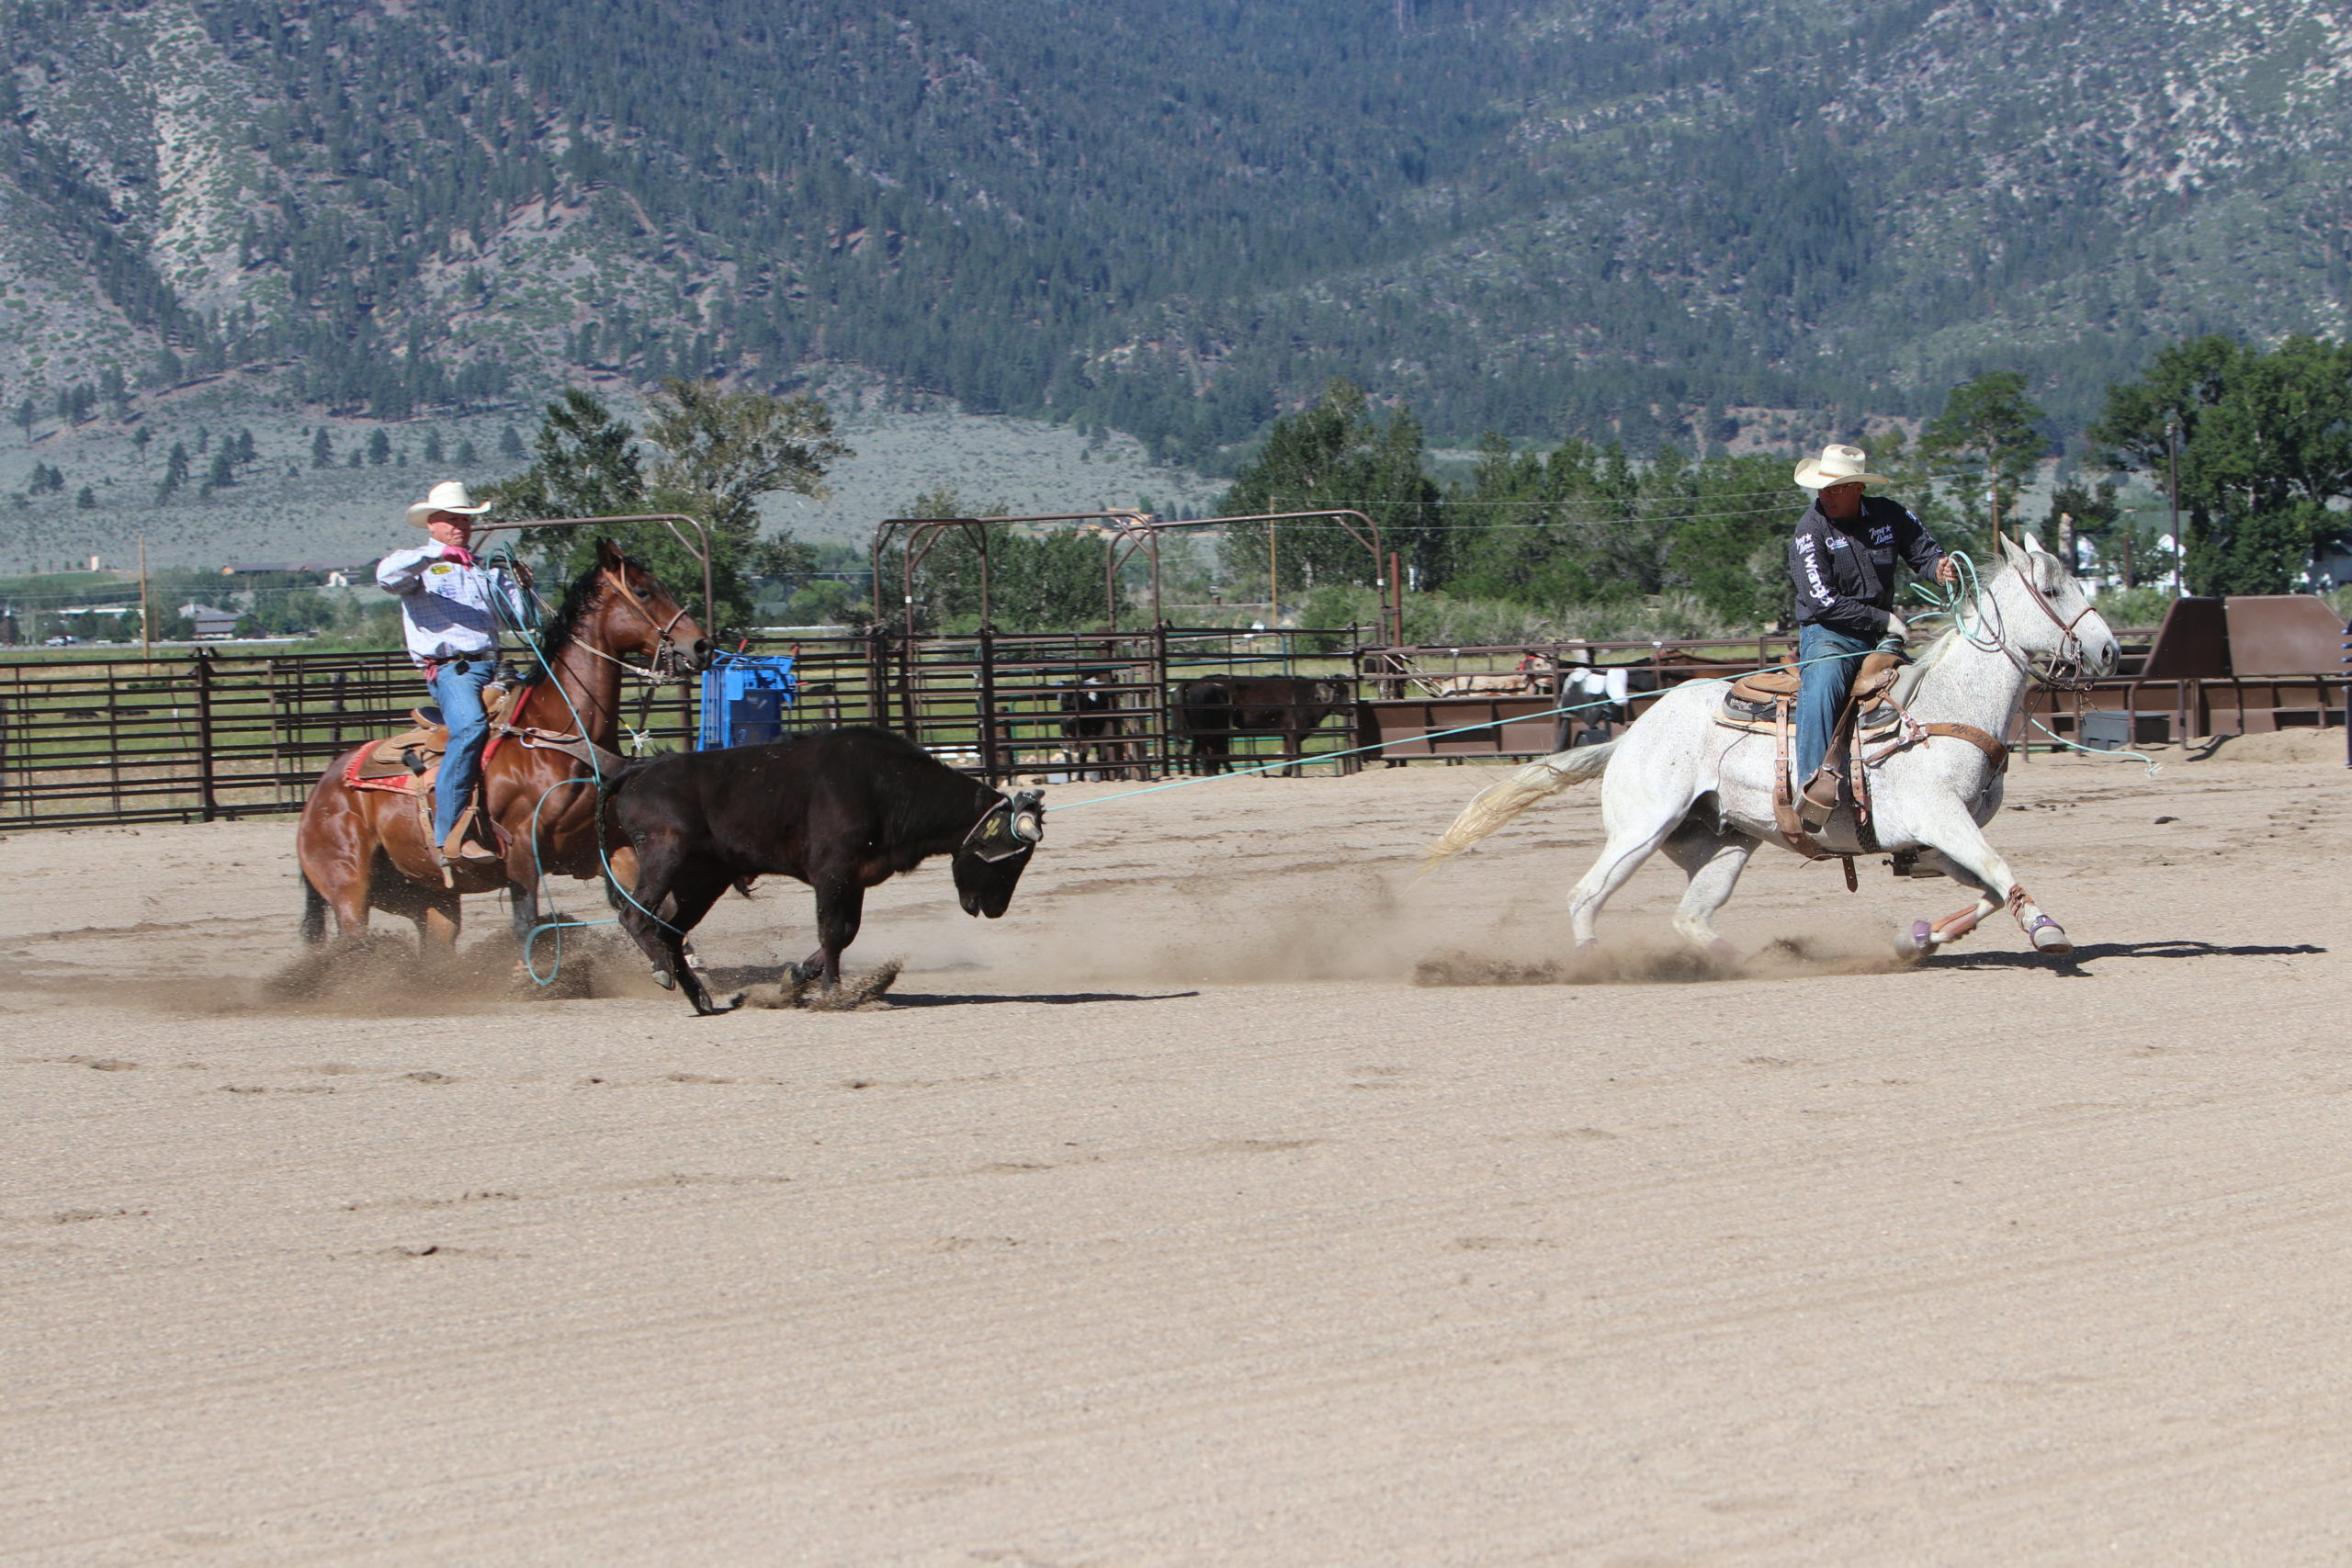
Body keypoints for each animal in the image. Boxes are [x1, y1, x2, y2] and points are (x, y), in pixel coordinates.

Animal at [290, 540, 706, 959]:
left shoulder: (612, 845)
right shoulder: (522, 852)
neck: (561, 734)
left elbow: (652, 908)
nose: (701, 644)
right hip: (348, 886)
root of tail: (321, 791)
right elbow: (527, 924)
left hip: (425, 894)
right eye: (643, 592)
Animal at [606, 728, 1048, 1010]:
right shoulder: (831, 875)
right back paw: (663, 971)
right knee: (636, 916)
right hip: (666, 855)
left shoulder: (855, 881)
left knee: (669, 928)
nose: (996, 909)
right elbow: (833, 932)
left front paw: (797, 977)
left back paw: (697, 996)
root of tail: (641, 770)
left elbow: (846, 933)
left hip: (702, 879)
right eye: (1011, 859)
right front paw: (833, 993)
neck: (888, 786)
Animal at [1166, 677, 1354, 780]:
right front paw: (1290, 772)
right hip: (1205, 732)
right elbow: (1293, 752)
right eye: (1338, 693)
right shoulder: (1295, 731)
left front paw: (1286, 772)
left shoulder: (1287, 733)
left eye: (1347, 691)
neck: (1310, 697)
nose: (1351, 710)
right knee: (1204, 752)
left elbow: (1288, 752)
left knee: (1211, 752)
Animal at [1420, 536, 2126, 959]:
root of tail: (1631, 734)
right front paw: (2048, 930)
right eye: (2054, 590)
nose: (2109, 650)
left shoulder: (1933, 840)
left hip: (1724, 844)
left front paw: (1918, 936)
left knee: (1691, 916)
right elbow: (2002, 871)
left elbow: (1986, 889)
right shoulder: (1942, 818)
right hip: (1641, 827)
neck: (1945, 707)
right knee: (1586, 895)